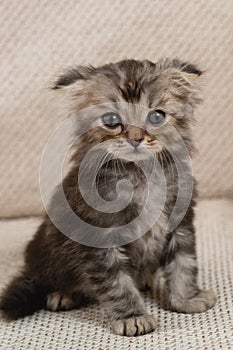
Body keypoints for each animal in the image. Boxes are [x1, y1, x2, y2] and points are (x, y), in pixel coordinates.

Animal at [0, 59, 217, 336]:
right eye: (112, 120)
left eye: (156, 116)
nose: (136, 138)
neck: (141, 176)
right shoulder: (100, 236)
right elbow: (116, 283)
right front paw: (132, 317)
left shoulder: (180, 223)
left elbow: (182, 265)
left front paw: (186, 298)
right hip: (48, 253)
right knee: (48, 279)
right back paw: (63, 295)